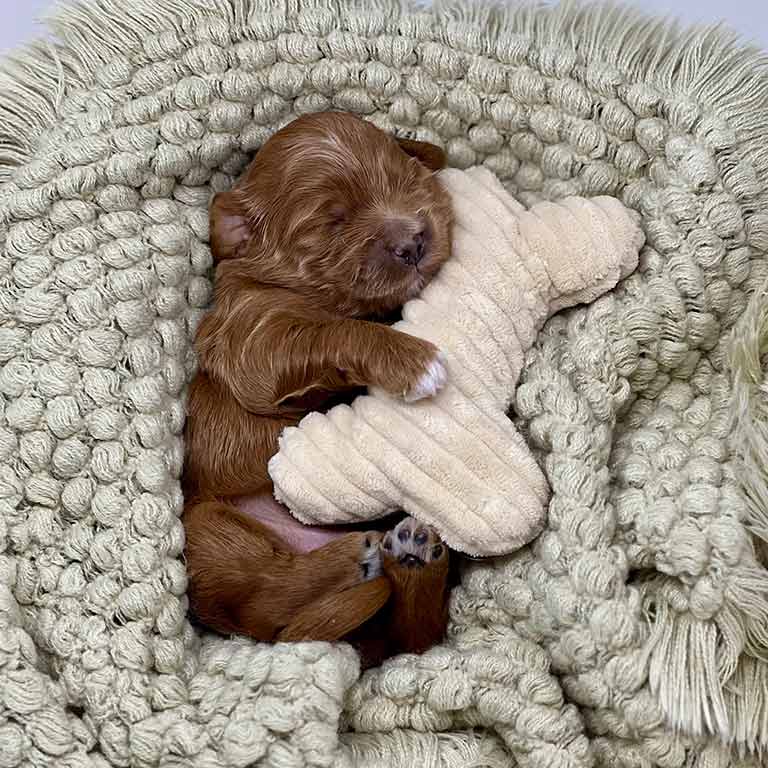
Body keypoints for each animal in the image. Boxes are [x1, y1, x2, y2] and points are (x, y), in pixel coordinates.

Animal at [182, 112, 452, 664]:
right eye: (333, 222)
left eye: (404, 176)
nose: (415, 242)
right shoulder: (255, 344)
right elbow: (337, 332)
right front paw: (414, 362)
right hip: (207, 535)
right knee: (274, 587)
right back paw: (353, 557)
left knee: (412, 633)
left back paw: (415, 556)